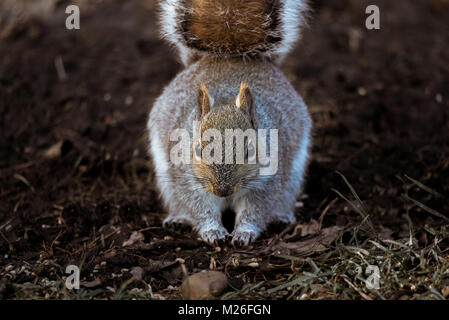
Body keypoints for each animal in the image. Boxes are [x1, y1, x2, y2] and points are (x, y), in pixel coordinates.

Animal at [147, 0, 312, 245]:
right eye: (198, 150)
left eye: (249, 150)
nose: (222, 190)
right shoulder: (187, 179)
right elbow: (201, 208)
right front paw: (212, 231)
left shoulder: (268, 181)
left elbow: (255, 210)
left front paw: (244, 232)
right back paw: (178, 218)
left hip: (292, 179)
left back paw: (281, 216)